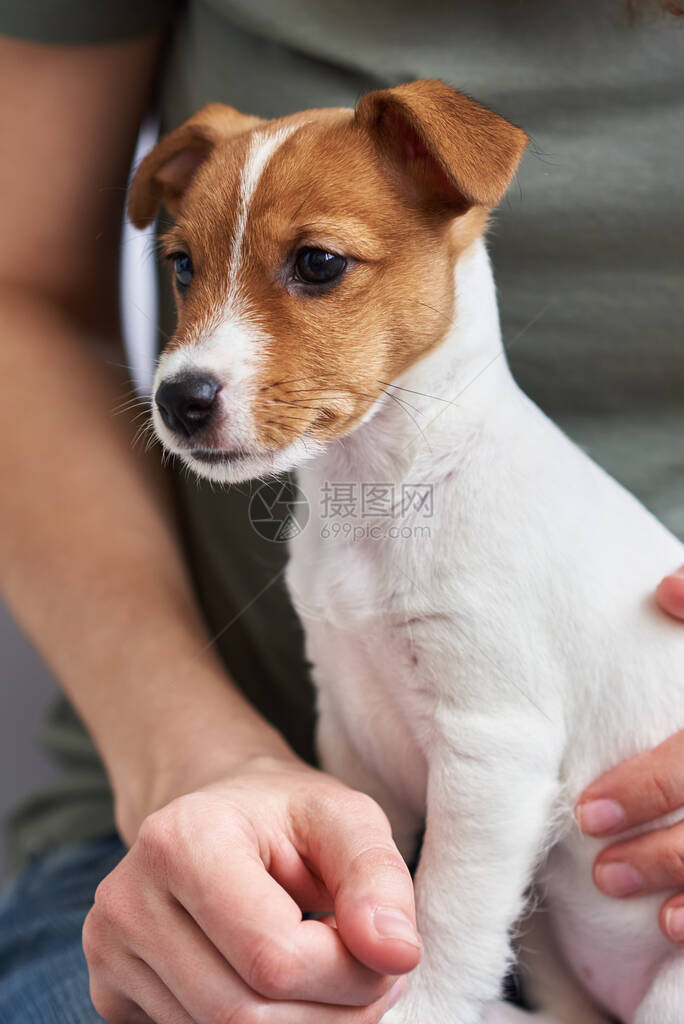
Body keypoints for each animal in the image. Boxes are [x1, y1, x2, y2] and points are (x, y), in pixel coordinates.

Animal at [129, 81, 684, 1024]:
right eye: (181, 267)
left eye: (318, 264)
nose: (179, 398)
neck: (385, 493)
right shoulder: (352, 723)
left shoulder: (493, 749)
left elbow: (447, 909)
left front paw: (420, 1002)